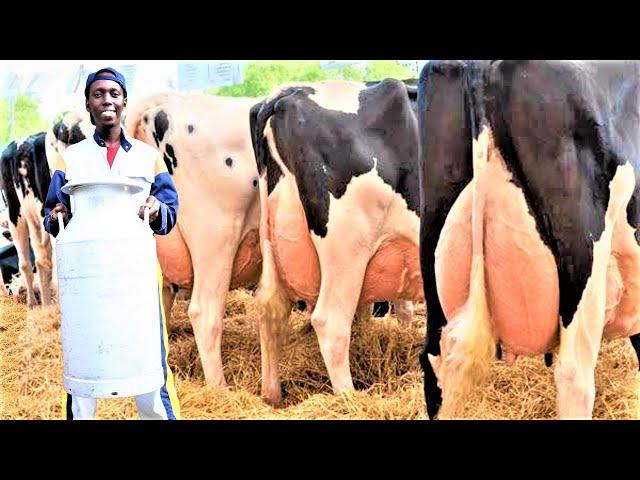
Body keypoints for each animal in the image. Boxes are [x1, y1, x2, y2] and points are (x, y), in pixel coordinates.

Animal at [251, 79, 424, 404]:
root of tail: (284, 97)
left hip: (271, 240)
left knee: (270, 308)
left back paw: (272, 397)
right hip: (346, 248)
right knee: (331, 321)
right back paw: (349, 398)